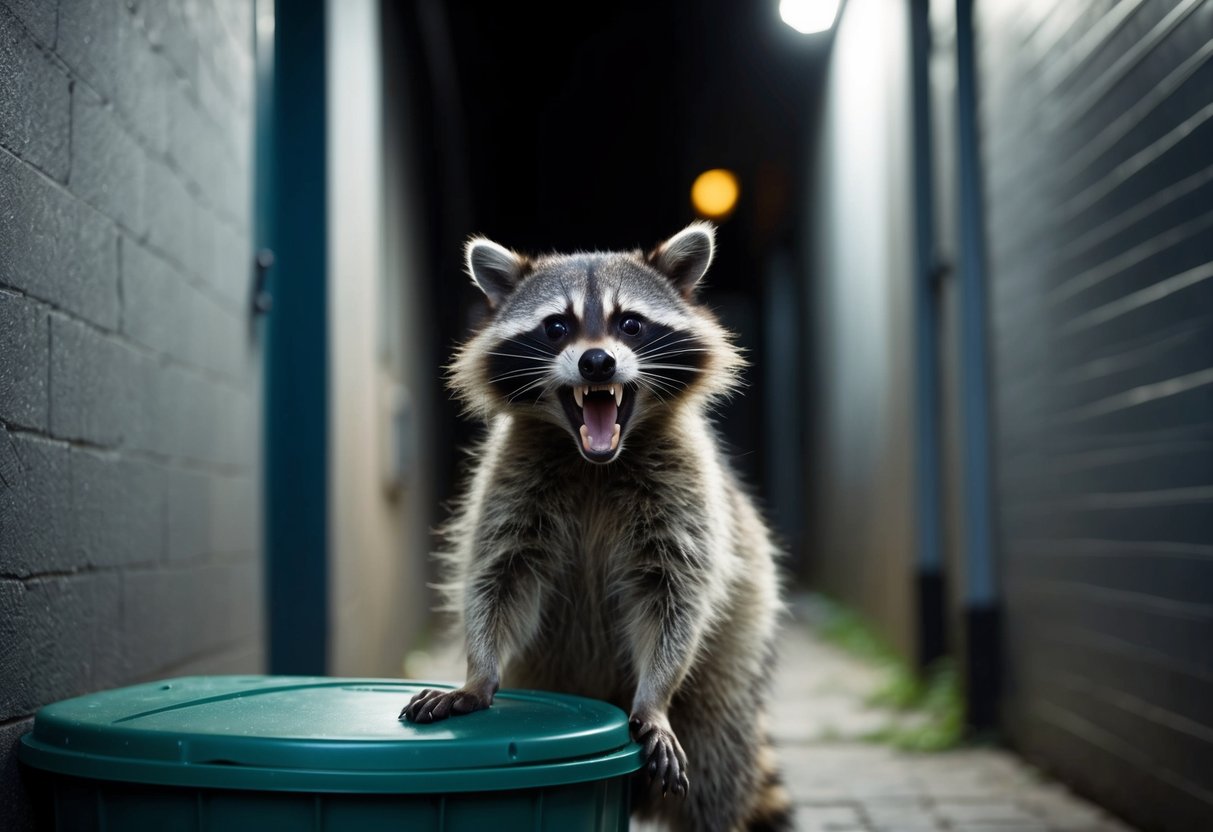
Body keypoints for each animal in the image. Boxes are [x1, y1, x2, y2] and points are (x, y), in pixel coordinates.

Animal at [401, 223, 791, 831]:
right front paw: (477, 673)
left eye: (629, 323)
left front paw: (655, 697)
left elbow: (677, 595)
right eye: (555, 327)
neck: (595, 462)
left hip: (730, 678)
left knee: (714, 770)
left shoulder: (686, 489)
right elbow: (497, 578)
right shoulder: (510, 482)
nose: (597, 364)